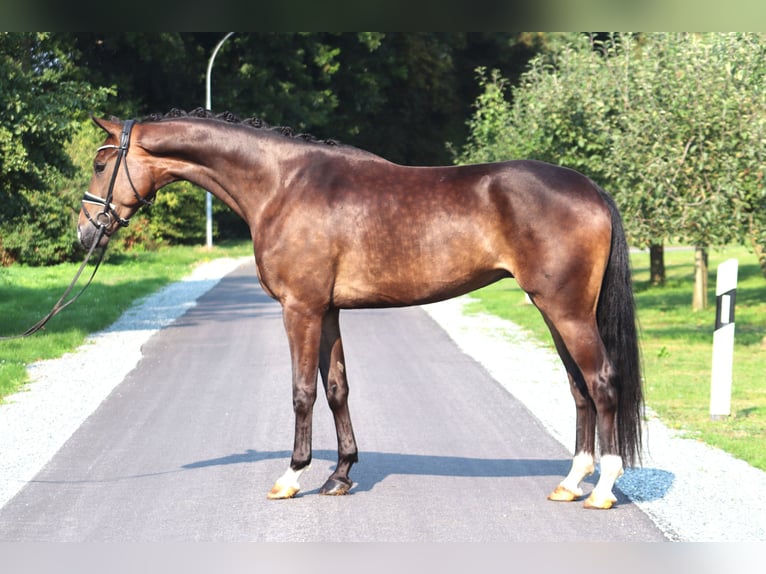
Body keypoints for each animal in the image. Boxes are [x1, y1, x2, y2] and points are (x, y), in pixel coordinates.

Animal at [79, 110, 640, 510]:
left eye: (101, 164)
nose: (85, 233)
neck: (282, 184)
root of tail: (591, 190)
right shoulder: (327, 311)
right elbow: (337, 388)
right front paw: (340, 475)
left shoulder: (300, 309)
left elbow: (302, 392)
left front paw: (292, 476)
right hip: (553, 311)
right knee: (579, 389)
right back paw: (570, 482)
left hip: (566, 311)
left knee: (602, 382)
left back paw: (602, 489)